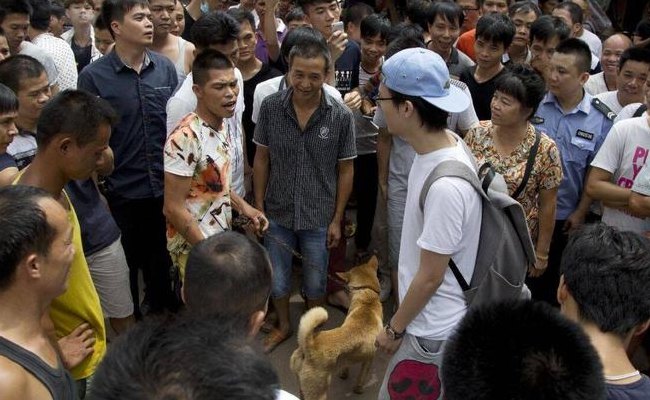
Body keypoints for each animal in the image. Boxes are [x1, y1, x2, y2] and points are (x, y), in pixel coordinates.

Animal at [288, 255, 380, 398]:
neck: (367, 298)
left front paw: (344, 374)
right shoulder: (370, 358)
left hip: (302, 387)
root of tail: (308, 345)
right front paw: (358, 389)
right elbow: (361, 377)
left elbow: (346, 366)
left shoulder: (349, 358)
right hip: (319, 392)